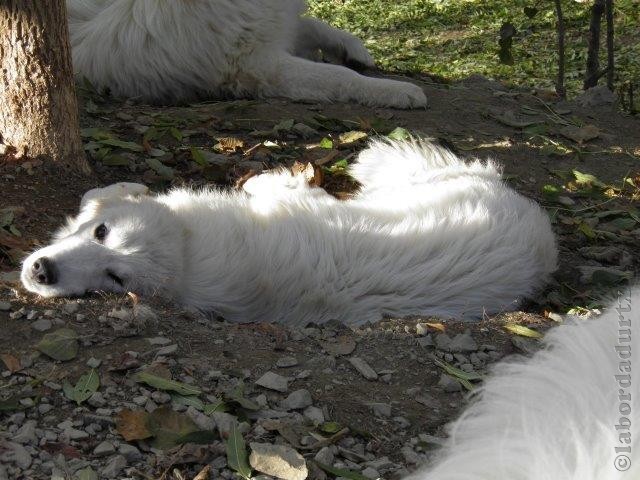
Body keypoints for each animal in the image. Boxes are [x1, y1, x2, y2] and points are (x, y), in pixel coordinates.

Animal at [65, 0, 428, 108]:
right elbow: (340, 76)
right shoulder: (259, 65)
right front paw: (397, 90)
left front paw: (354, 48)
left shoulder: (274, 28)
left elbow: (311, 24)